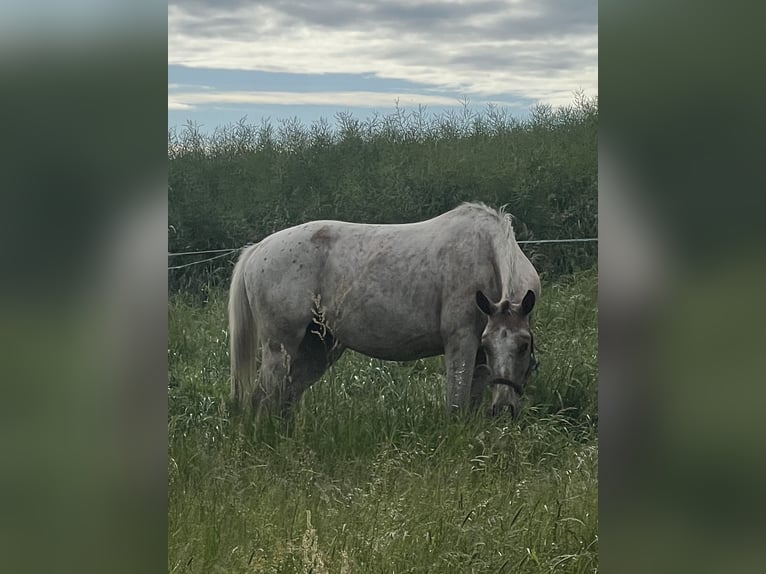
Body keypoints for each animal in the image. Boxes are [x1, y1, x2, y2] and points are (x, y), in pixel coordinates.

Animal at [228, 202, 540, 419]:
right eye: (489, 345)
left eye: (524, 345)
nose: (503, 410)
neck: (485, 254)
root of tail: (258, 249)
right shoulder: (462, 342)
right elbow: (456, 403)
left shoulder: (478, 355)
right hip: (279, 348)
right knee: (264, 399)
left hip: (317, 347)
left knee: (286, 397)